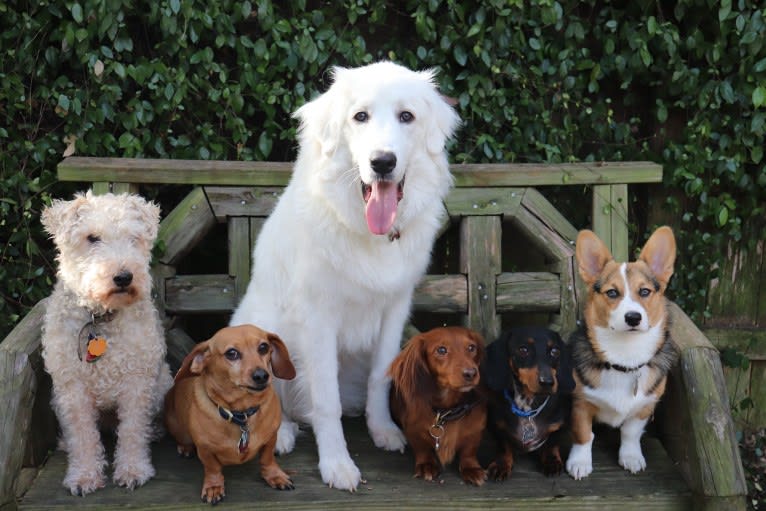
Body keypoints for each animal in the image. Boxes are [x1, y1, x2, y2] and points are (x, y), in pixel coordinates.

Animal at [41, 191, 173, 496]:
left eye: (134, 237)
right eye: (92, 237)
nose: (124, 277)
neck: (100, 318)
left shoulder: (137, 382)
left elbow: (133, 430)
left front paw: (133, 470)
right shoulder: (73, 387)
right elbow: (82, 435)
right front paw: (83, 476)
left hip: (162, 384)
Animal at [231, 61, 460, 492]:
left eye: (407, 117)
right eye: (361, 117)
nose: (382, 162)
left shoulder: (394, 309)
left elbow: (380, 378)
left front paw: (382, 430)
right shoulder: (318, 318)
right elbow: (326, 401)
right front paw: (337, 464)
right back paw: (282, 433)